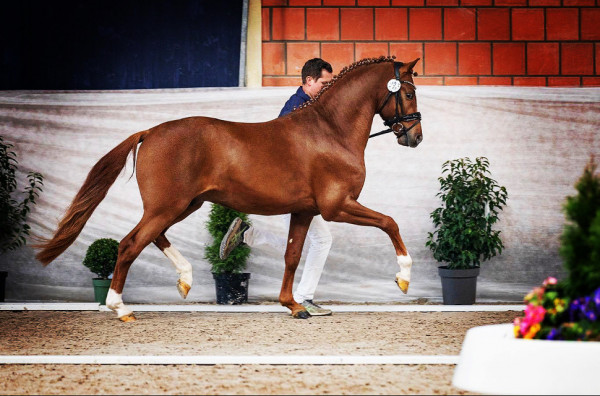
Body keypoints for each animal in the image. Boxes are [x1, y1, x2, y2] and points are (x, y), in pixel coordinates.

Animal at [35, 56, 422, 322]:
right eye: (407, 92)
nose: (415, 137)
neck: (329, 131)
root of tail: (150, 132)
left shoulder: (305, 211)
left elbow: (292, 255)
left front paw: (294, 306)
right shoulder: (337, 205)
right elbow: (389, 222)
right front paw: (403, 278)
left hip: (182, 205)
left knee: (152, 237)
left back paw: (185, 279)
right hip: (167, 206)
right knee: (131, 243)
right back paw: (120, 307)